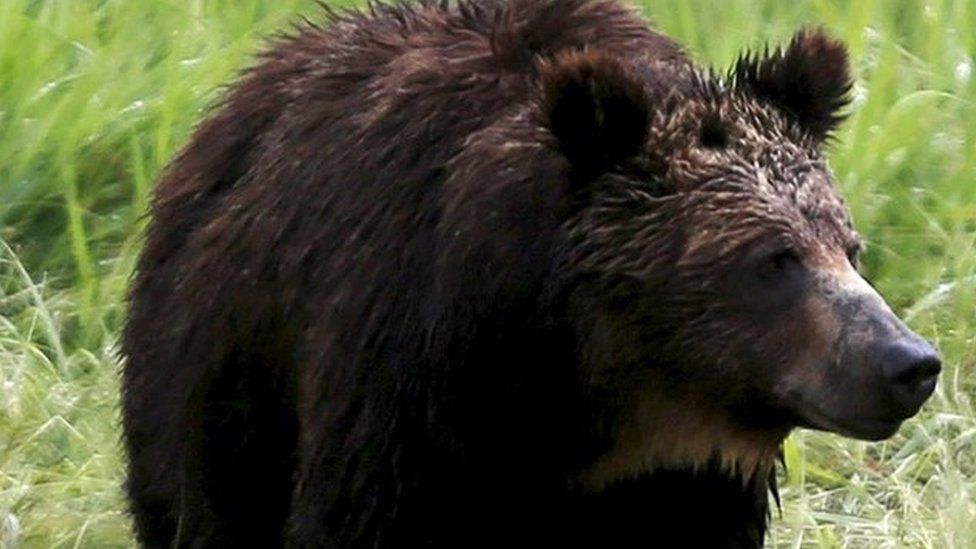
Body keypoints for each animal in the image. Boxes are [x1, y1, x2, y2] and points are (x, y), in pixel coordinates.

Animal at [118, 0, 940, 544]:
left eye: (850, 247)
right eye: (773, 258)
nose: (907, 361)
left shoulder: (686, 483)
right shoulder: (399, 388)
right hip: (220, 373)